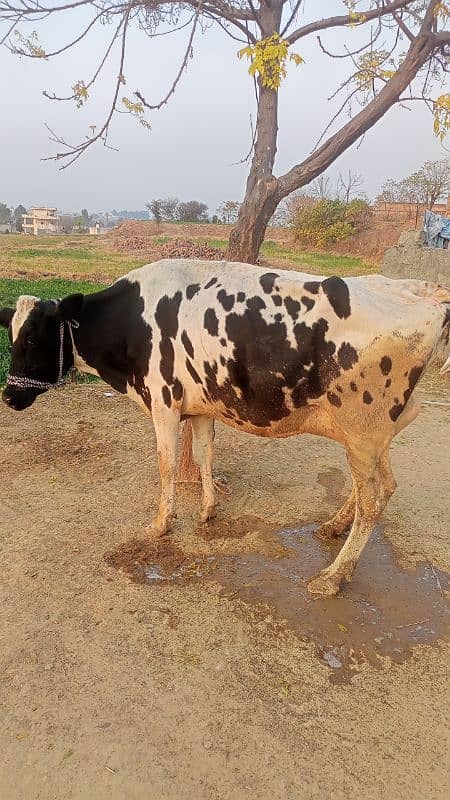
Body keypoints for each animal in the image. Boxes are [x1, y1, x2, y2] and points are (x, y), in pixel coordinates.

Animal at [0, 260, 450, 596]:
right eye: (11, 337)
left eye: (33, 340)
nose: (7, 396)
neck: (132, 323)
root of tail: (418, 289)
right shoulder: (200, 406)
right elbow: (204, 455)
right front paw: (207, 509)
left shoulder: (163, 403)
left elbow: (166, 466)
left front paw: (160, 524)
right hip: (376, 434)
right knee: (382, 486)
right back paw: (333, 527)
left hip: (362, 430)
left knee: (373, 498)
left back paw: (333, 576)